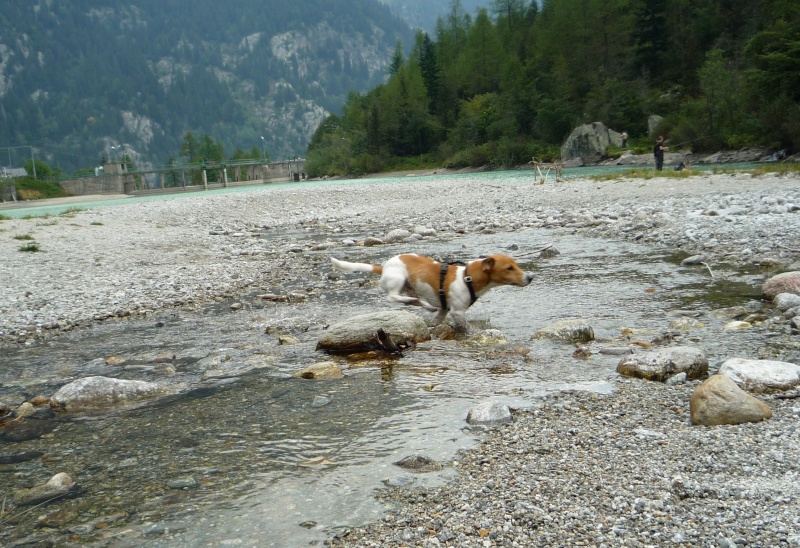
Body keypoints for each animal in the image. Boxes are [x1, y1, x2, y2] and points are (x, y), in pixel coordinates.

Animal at [328, 253, 536, 330]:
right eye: (509, 268)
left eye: (516, 265)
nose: (530, 277)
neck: (467, 277)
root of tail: (383, 266)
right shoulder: (457, 312)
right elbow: (465, 326)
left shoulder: (445, 309)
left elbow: (436, 320)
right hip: (398, 280)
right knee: (392, 297)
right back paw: (419, 303)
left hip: (409, 286)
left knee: (412, 299)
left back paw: (424, 305)